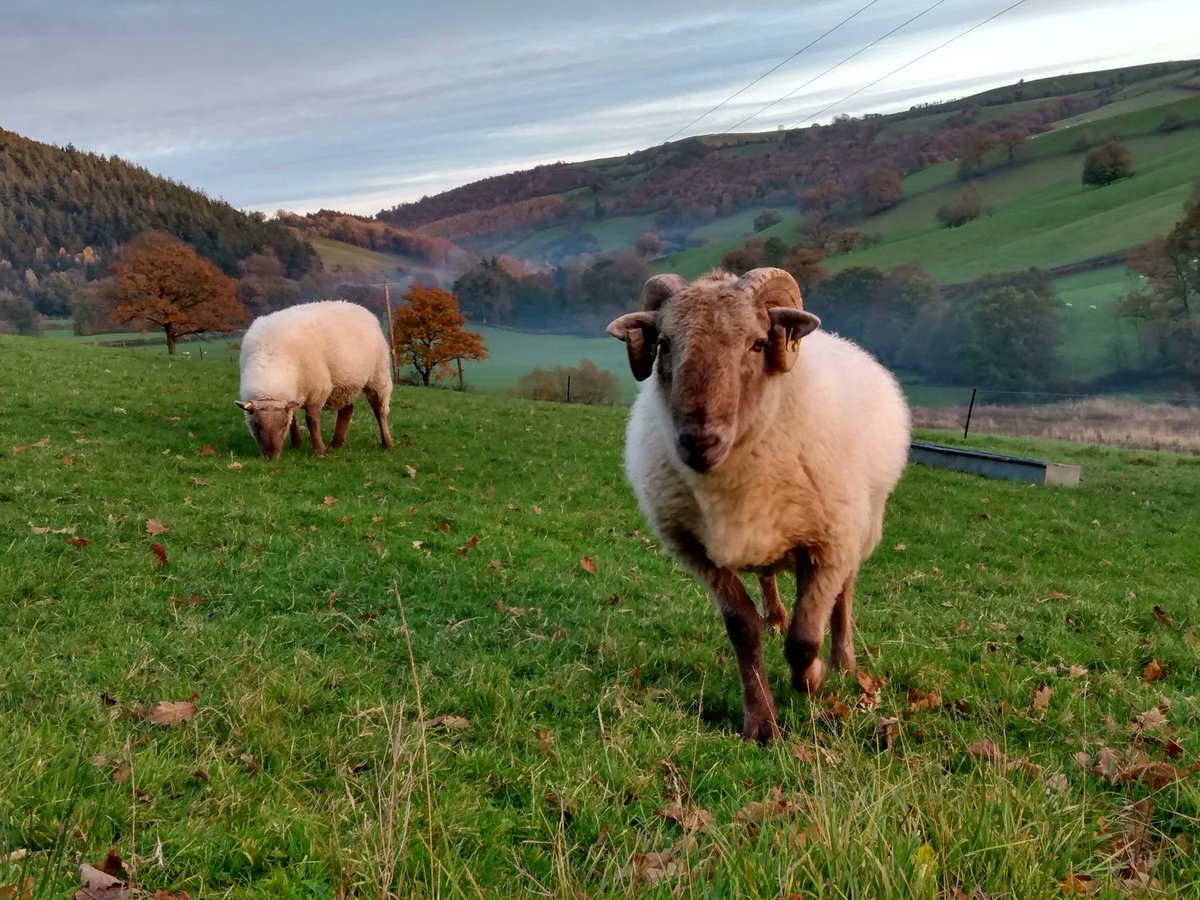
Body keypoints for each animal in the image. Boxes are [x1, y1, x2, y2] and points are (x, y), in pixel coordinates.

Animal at [236, 300, 394, 459]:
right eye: (255, 424)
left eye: (283, 424)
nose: (271, 456)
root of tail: (360, 308)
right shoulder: (294, 394)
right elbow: (294, 418)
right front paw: (296, 444)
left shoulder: (318, 389)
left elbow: (312, 420)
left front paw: (319, 450)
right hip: (344, 384)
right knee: (347, 410)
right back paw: (336, 443)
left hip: (378, 376)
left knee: (379, 410)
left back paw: (387, 443)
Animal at [606, 268, 910, 743]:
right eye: (664, 344)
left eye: (756, 342)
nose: (698, 441)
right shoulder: (698, 551)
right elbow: (742, 630)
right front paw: (761, 723)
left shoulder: (828, 545)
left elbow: (804, 638)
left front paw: (814, 676)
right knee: (770, 580)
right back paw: (776, 615)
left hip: (858, 526)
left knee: (843, 596)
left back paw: (844, 661)